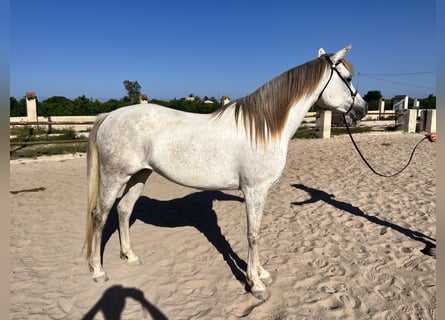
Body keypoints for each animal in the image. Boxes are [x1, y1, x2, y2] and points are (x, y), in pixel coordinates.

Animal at [85, 45, 366, 300]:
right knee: (100, 215)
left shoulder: (258, 193)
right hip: (114, 177)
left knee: (124, 210)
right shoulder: (254, 191)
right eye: (347, 78)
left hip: (139, 175)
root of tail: (110, 115)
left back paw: (130, 256)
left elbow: (257, 232)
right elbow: (253, 234)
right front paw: (256, 285)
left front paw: (261, 273)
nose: (361, 110)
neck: (263, 128)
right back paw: (98, 271)